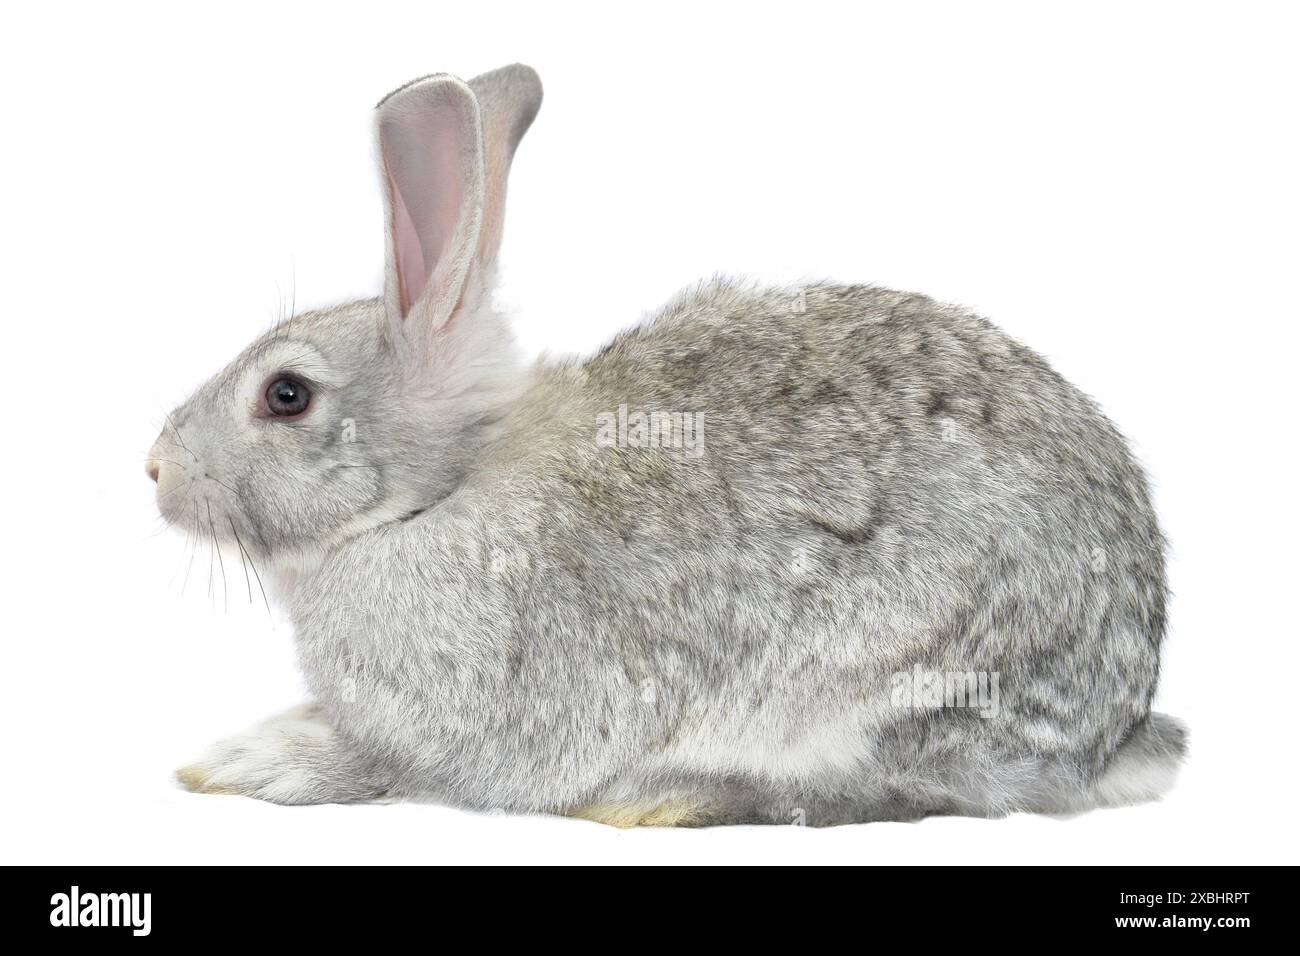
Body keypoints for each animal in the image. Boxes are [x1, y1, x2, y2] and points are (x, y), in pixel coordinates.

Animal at [148, 63, 1185, 827]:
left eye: (286, 396)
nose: (155, 470)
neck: (438, 494)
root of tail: (1117, 726)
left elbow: (401, 768)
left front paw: (254, 762)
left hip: (892, 684)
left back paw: (661, 799)